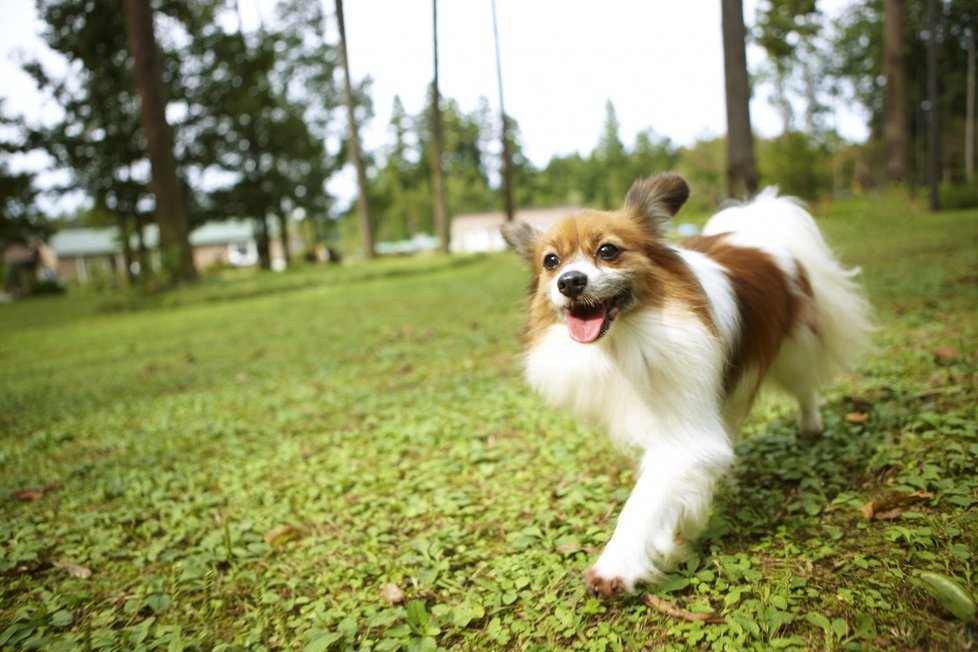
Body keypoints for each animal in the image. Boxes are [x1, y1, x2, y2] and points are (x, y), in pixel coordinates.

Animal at [504, 172, 868, 596]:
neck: (626, 341)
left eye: (608, 250)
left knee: (805, 386)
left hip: (794, 351)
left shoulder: (684, 433)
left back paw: (810, 426)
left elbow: (645, 502)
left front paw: (616, 565)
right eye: (551, 261)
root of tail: (757, 231)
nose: (570, 282)